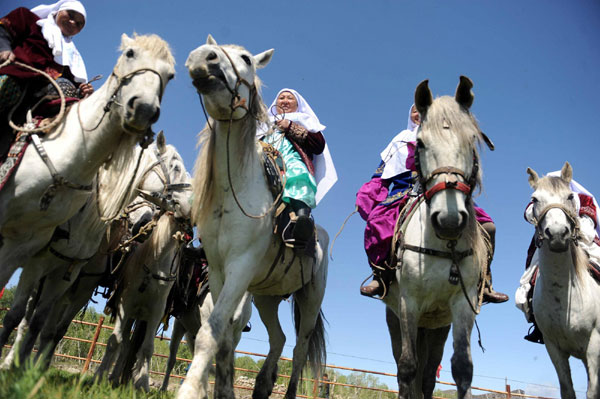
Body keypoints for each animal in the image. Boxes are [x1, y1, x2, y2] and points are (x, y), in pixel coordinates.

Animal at [178, 35, 328, 399]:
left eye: (246, 58)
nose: (203, 58)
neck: (234, 188)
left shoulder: (241, 265)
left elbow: (212, 331)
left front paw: (189, 390)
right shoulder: (220, 271)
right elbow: (224, 336)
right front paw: (222, 390)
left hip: (310, 298)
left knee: (300, 349)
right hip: (267, 298)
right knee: (279, 338)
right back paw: (261, 386)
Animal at [382, 77, 490, 399]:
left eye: (471, 140)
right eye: (420, 143)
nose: (449, 221)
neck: (445, 246)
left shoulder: (462, 306)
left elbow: (462, 368)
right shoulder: (408, 304)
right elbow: (406, 367)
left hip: (437, 326)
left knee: (429, 375)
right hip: (397, 318)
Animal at [528, 162, 596, 399]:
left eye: (569, 196)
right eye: (535, 199)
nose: (557, 234)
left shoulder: (595, 346)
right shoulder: (554, 348)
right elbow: (567, 390)